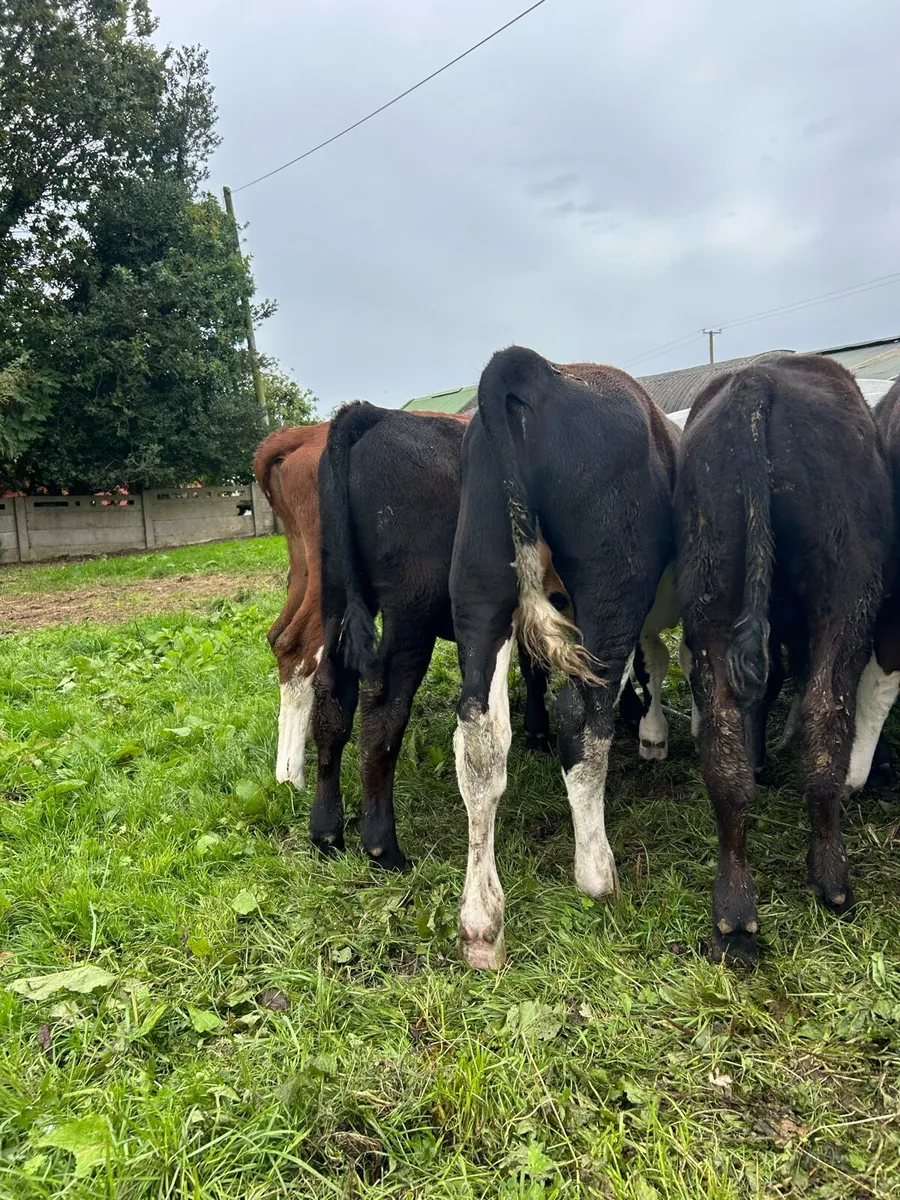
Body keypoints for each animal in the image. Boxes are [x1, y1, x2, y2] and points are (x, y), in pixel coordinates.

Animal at [449, 347, 679, 970]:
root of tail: (538, 370)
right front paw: (654, 734)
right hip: (612, 585)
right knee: (583, 716)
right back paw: (597, 876)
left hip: (480, 585)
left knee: (480, 739)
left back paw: (481, 921)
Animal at [675, 354, 893, 967]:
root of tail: (759, 381)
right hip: (848, 593)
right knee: (824, 719)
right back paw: (831, 876)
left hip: (711, 601)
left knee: (722, 743)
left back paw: (734, 911)